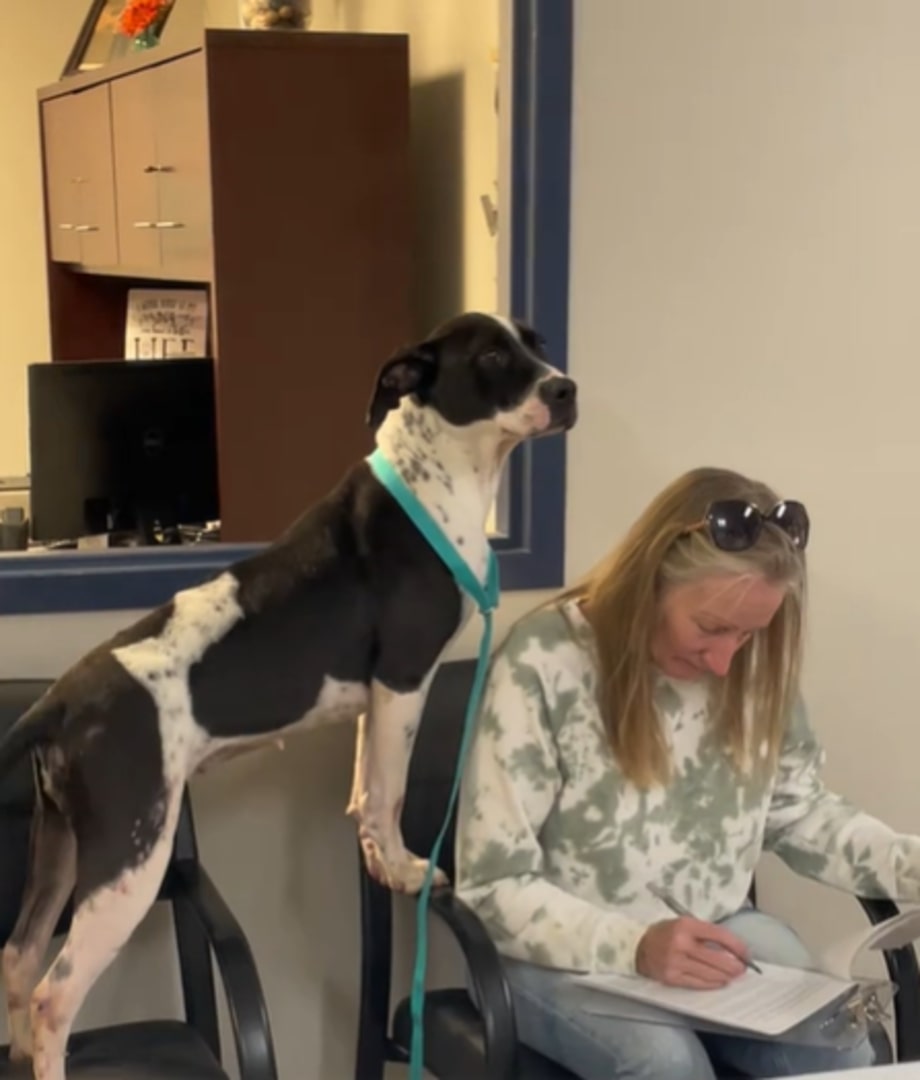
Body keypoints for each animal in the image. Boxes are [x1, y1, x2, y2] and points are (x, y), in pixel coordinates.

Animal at [0, 308, 574, 1075]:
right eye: (490, 357)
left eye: (535, 344)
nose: (566, 389)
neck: (436, 480)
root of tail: (58, 701)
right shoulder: (404, 681)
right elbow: (391, 795)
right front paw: (406, 871)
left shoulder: (374, 704)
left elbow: (366, 793)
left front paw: (380, 864)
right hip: (129, 859)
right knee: (53, 996)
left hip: (58, 845)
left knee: (18, 956)